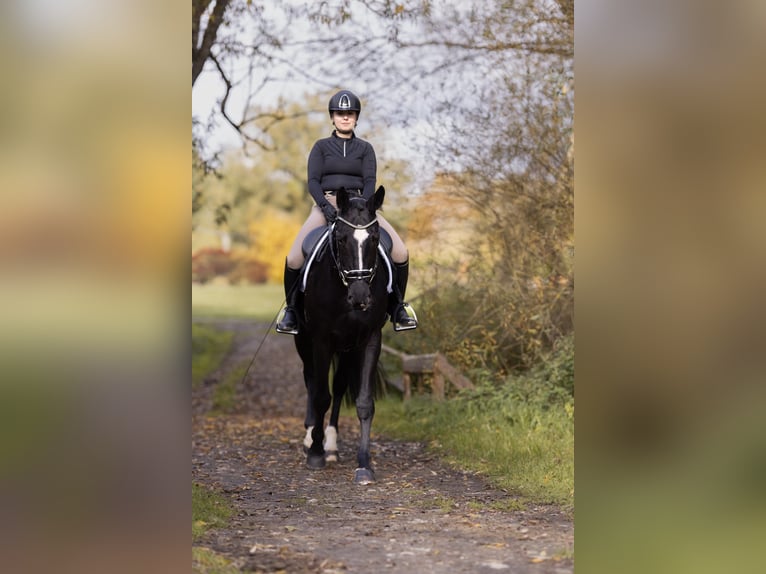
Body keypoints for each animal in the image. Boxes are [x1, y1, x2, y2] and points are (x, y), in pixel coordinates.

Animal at [293, 186, 390, 485]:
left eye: (375, 238)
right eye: (341, 238)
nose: (360, 297)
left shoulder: (369, 339)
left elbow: (364, 402)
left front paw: (364, 465)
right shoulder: (321, 340)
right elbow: (320, 395)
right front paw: (315, 453)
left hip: (347, 348)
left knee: (337, 387)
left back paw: (332, 445)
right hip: (304, 342)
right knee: (312, 381)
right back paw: (310, 438)